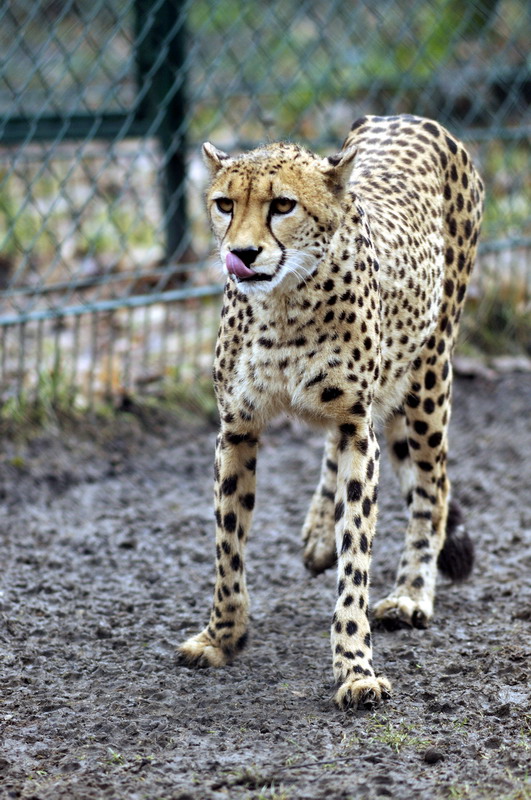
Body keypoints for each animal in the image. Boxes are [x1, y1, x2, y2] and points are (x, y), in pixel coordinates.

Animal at [178, 114, 484, 710]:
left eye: (283, 205)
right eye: (225, 204)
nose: (243, 253)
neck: (284, 306)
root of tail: (409, 118)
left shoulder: (356, 426)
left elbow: (357, 554)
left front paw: (355, 668)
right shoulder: (238, 426)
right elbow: (228, 543)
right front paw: (222, 636)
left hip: (428, 377)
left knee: (432, 486)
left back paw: (412, 593)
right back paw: (319, 533)